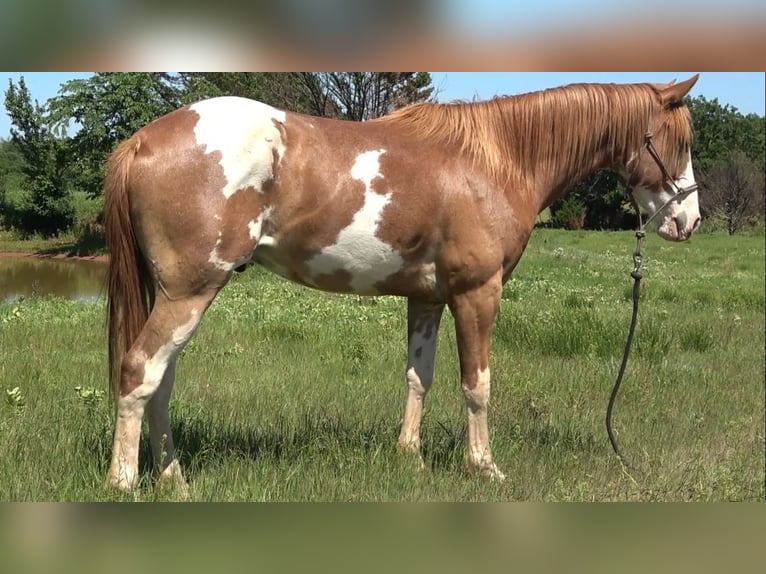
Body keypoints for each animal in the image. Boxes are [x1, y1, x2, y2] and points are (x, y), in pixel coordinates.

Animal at [103, 75, 701, 493]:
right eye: (680, 140)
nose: (689, 221)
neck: (496, 160)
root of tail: (142, 141)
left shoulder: (427, 298)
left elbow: (420, 377)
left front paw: (408, 457)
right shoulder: (477, 294)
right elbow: (477, 385)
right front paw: (485, 467)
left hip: (180, 294)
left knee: (161, 380)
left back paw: (173, 477)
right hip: (190, 291)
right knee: (139, 370)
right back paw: (124, 481)